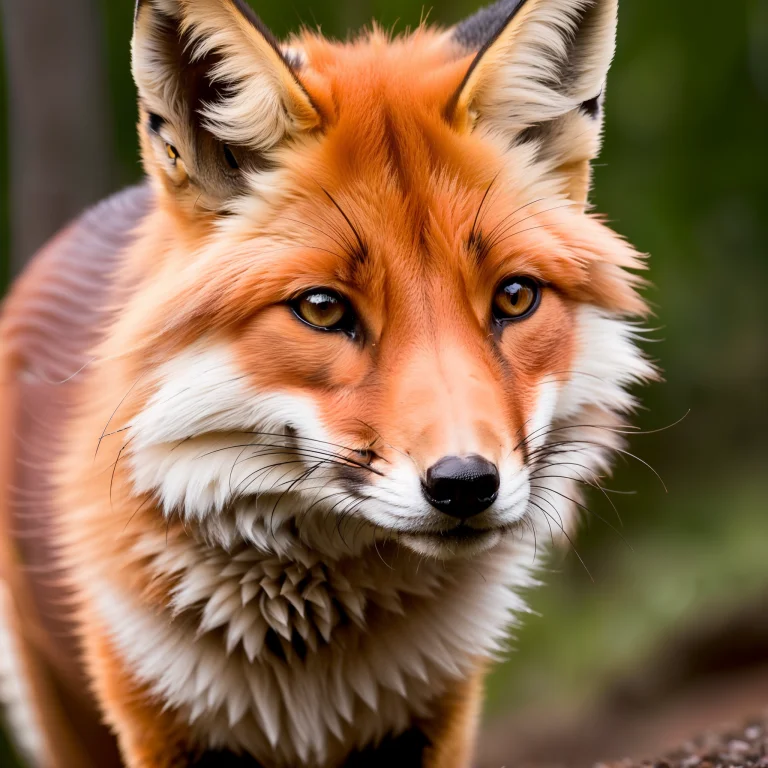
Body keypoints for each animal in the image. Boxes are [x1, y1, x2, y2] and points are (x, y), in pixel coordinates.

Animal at [0, 0, 655, 766]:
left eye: (515, 297)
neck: (312, 655)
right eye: (322, 309)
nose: (466, 485)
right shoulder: (157, 722)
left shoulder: (436, 707)